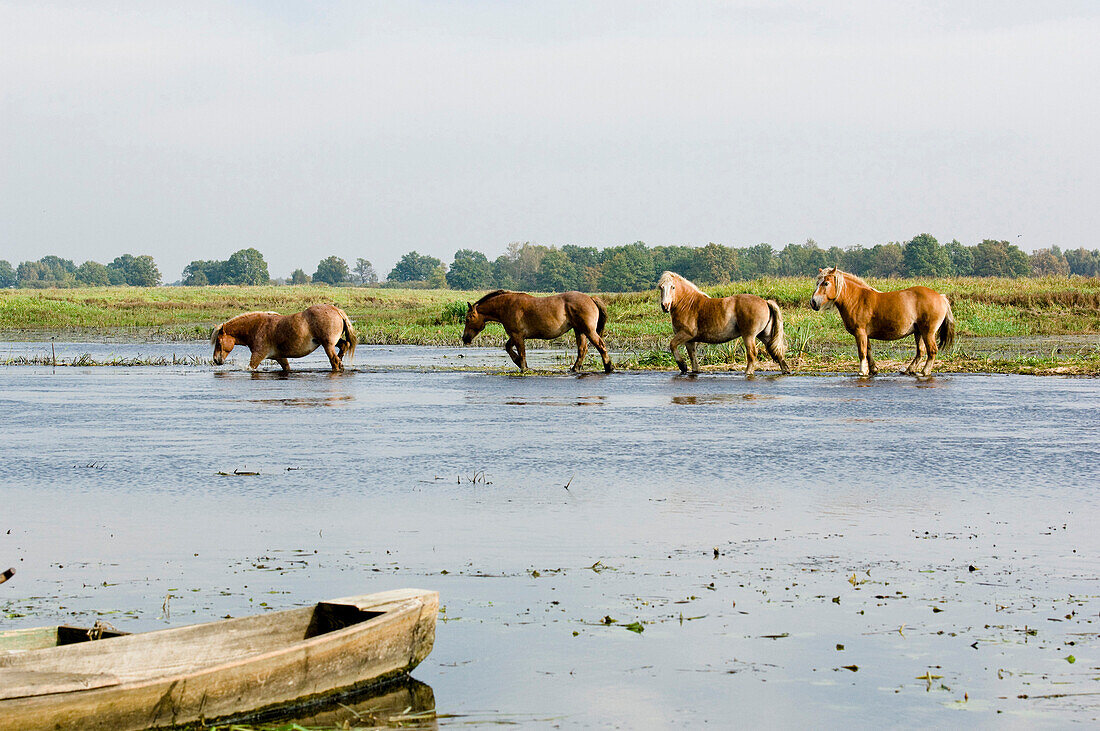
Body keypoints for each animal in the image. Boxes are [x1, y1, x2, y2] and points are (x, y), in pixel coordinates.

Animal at [210, 301, 356, 371]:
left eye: (218, 342)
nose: (216, 360)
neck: (257, 327)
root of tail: (337, 310)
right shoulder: (280, 357)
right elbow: (287, 367)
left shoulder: (257, 356)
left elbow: (250, 367)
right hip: (331, 343)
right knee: (344, 345)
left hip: (328, 345)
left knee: (335, 361)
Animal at [459, 290, 616, 373]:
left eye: (468, 319)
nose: (465, 338)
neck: (506, 305)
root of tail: (590, 298)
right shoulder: (514, 336)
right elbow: (508, 347)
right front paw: (518, 362)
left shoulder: (517, 335)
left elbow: (521, 353)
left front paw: (523, 368)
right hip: (580, 331)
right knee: (582, 350)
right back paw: (574, 368)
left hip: (588, 330)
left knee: (601, 346)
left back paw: (608, 367)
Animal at [655, 269, 787, 375]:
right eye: (661, 287)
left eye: (673, 287)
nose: (665, 306)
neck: (688, 304)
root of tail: (765, 302)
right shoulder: (690, 340)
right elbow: (693, 357)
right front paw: (693, 369)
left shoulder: (686, 334)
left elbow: (672, 345)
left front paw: (682, 365)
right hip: (765, 335)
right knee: (776, 351)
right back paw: (785, 370)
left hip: (749, 336)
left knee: (752, 354)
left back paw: (748, 372)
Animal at [809, 263, 954, 375]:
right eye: (817, 283)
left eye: (826, 283)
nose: (813, 302)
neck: (856, 299)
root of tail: (941, 297)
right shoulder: (865, 334)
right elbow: (868, 351)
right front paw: (873, 369)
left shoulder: (860, 332)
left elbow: (862, 352)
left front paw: (862, 371)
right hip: (919, 332)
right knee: (921, 352)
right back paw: (909, 370)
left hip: (928, 332)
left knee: (932, 351)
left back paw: (925, 372)